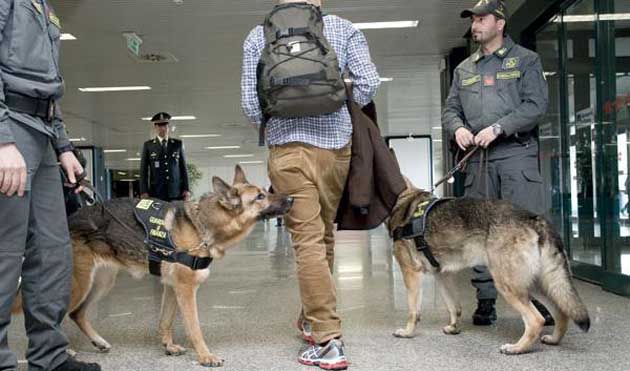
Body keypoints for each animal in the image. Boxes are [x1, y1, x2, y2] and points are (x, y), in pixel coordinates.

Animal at [11, 166, 294, 370]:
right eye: (260, 196)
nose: (292, 198)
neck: (201, 225)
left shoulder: (171, 287)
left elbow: (165, 320)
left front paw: (168, 346)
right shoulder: (185, 289)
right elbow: (194, 328)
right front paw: (205, 356)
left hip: (101, 283)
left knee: (77, 313)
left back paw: (98, 342)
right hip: (78, 284)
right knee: (47, 315)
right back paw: (61, 351)